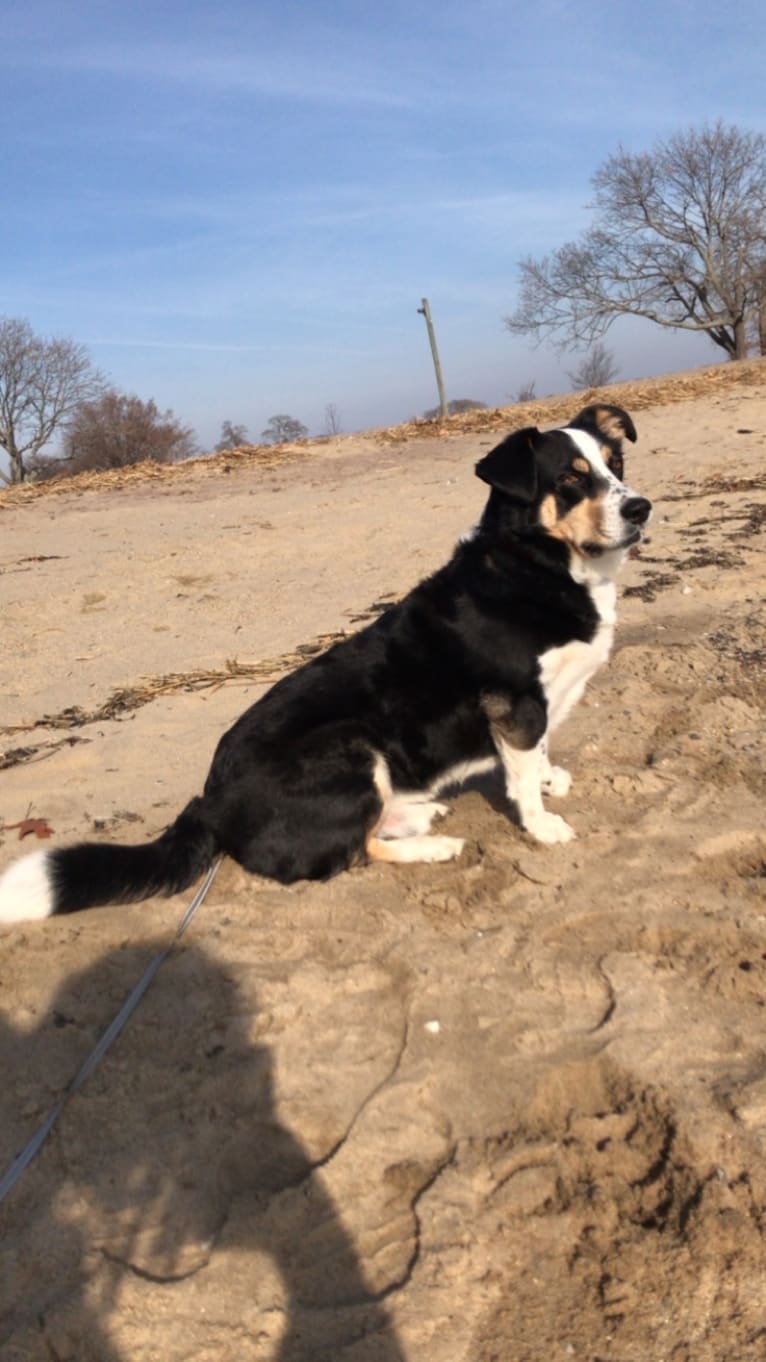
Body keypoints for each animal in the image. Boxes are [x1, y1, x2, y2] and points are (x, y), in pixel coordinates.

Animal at [0, 403, 648, 926]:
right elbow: (520, 778)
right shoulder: (513, 702)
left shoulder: (534, 706)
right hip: (351, 744)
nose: (641, 507)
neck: (537, 563)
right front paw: (542, 822)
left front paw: (548, 776)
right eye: (570, 479)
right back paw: (432, 846)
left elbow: (536, 754)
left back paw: (422, 813)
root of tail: (209, 805)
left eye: (616, 464)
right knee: (354, 850)